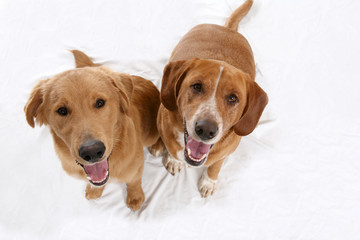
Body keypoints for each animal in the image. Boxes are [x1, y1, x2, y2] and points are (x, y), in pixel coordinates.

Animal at [24, 50, 160, 210]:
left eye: (100, 102)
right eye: (62, 110)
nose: (92, 151)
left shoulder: (136, 167)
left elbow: (134, 182)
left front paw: (135, 198)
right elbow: (96, 183)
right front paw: (95, 191)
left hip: (151, 134)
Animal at [157, 0, 268, 198]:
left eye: (233, 98)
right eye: (197, 86)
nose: (206, 130)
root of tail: (228, 29)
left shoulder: (226, 151)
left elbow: (216, 165)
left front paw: (209, 181)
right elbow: (171, 147)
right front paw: (173, 158)